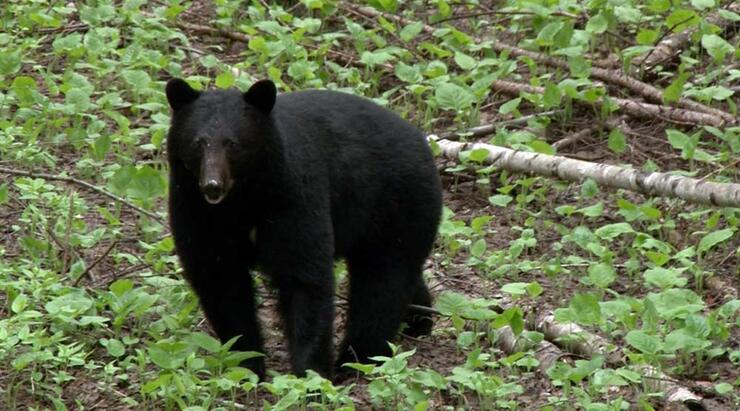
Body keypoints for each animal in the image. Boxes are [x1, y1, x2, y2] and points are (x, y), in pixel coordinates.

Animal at [165, 78, 442, 380]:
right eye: (197, 143)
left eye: (233, 144)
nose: (212, 185)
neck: (242, 201)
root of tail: (422, 140)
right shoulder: (195, 209)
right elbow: (220, 279)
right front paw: (247, 364)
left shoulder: (293, 196)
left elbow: (304, 275)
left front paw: (312, 373)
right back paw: (419, 319)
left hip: (396, 203)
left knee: (383, 282)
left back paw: (356, 358)